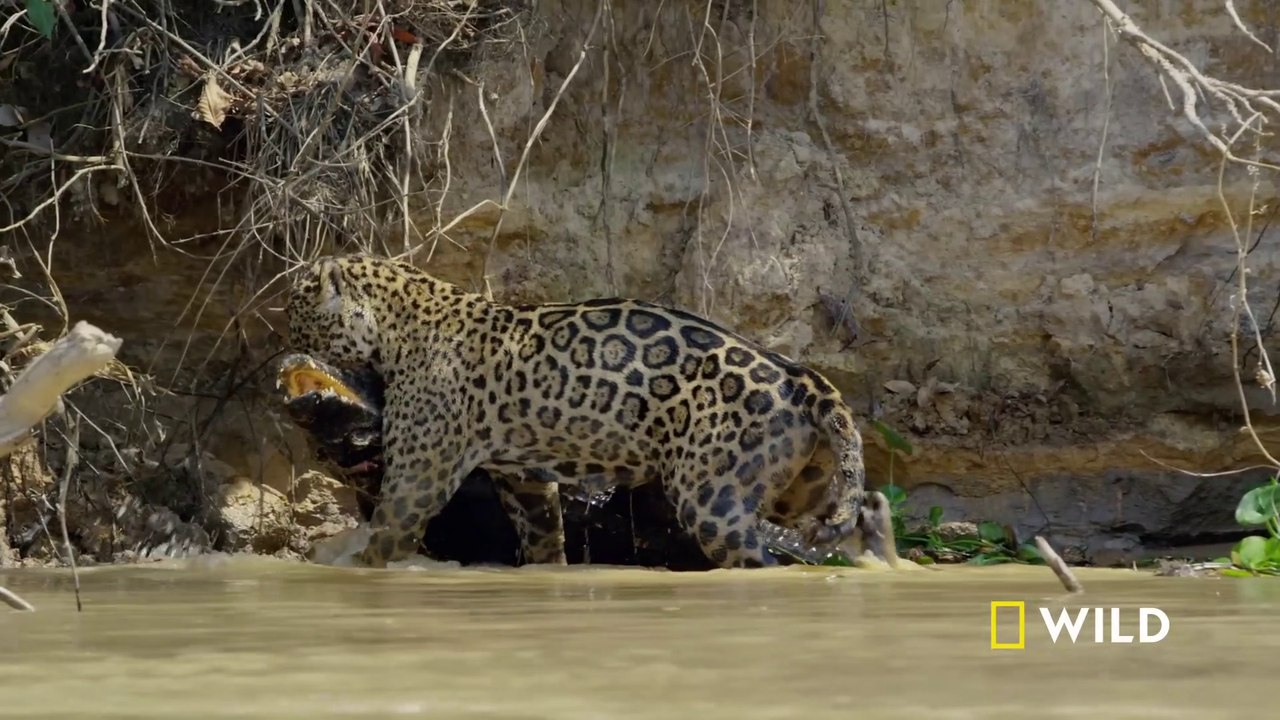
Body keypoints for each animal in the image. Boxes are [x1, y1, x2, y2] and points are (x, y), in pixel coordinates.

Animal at [285, 253, 882, 569]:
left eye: (300, 316)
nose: (285, 345)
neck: (401, 320)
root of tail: (802, 378)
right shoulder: (523, 476)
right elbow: (544, 533)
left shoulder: (418, 476)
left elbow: (387, 535)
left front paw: (356, 571)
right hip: (794, 488)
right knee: (851, 516)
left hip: (712, 499)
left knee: (760, 558)